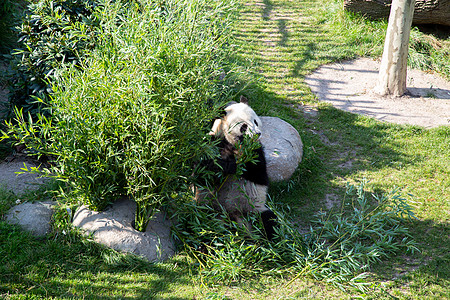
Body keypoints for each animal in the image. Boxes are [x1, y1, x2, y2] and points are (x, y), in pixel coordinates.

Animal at [197, 95, 278, 240]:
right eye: (244, 126)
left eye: (255, 121)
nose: (257, 134)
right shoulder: (213, 143)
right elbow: (204, 175)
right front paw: (223, 165)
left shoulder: (256, 152)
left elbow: (258, 175)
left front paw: (232, 165)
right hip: (208, 207)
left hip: (254, 209)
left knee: (269, 221)